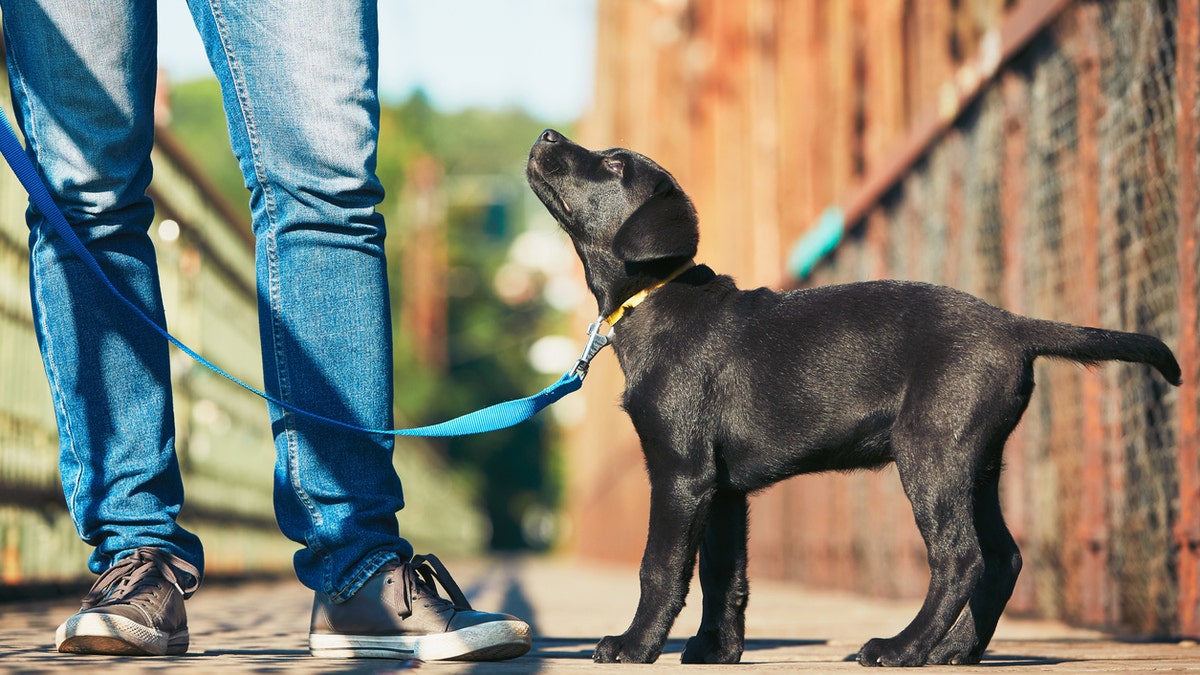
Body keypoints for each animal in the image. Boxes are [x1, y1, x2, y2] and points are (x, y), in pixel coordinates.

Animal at [525, 128, 1180, 662]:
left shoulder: (681, 472)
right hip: (977, 461)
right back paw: (952, 652)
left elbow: (660, 568)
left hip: (930, 452)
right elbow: (723, 575)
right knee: (1002, 558)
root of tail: (1014, 325)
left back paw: (902, 648)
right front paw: (716, 649)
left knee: (960, 557)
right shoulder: (722, 488)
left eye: (613, 165)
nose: (547, 133)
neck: (654, 297)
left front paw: (634, 645)